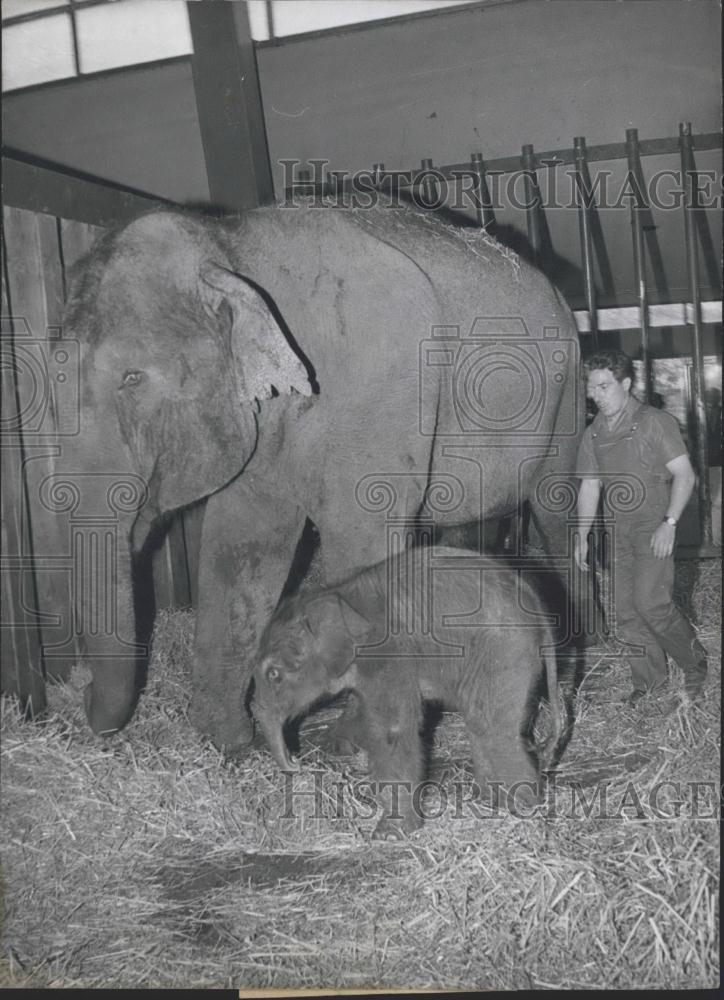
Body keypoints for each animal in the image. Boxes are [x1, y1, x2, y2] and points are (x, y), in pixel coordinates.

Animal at [53, 207, 584, 748]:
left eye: (132, 378)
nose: (81, 693)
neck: (230, 245)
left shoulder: (379, 390)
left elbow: (360, 540)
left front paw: (343, 741)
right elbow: (243, 543)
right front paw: (226, 741)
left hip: (566, 396)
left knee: (555, 507)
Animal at [252, 544, 564, 840]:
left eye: (274, 674)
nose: (296, 762)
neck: (342, 594)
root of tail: (537, 606)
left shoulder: (389, 653)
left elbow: (393, 729)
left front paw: (390, 834)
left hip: (503, 650)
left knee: (492, 728)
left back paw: (521, 810)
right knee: (480, 724)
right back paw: (490, 801)